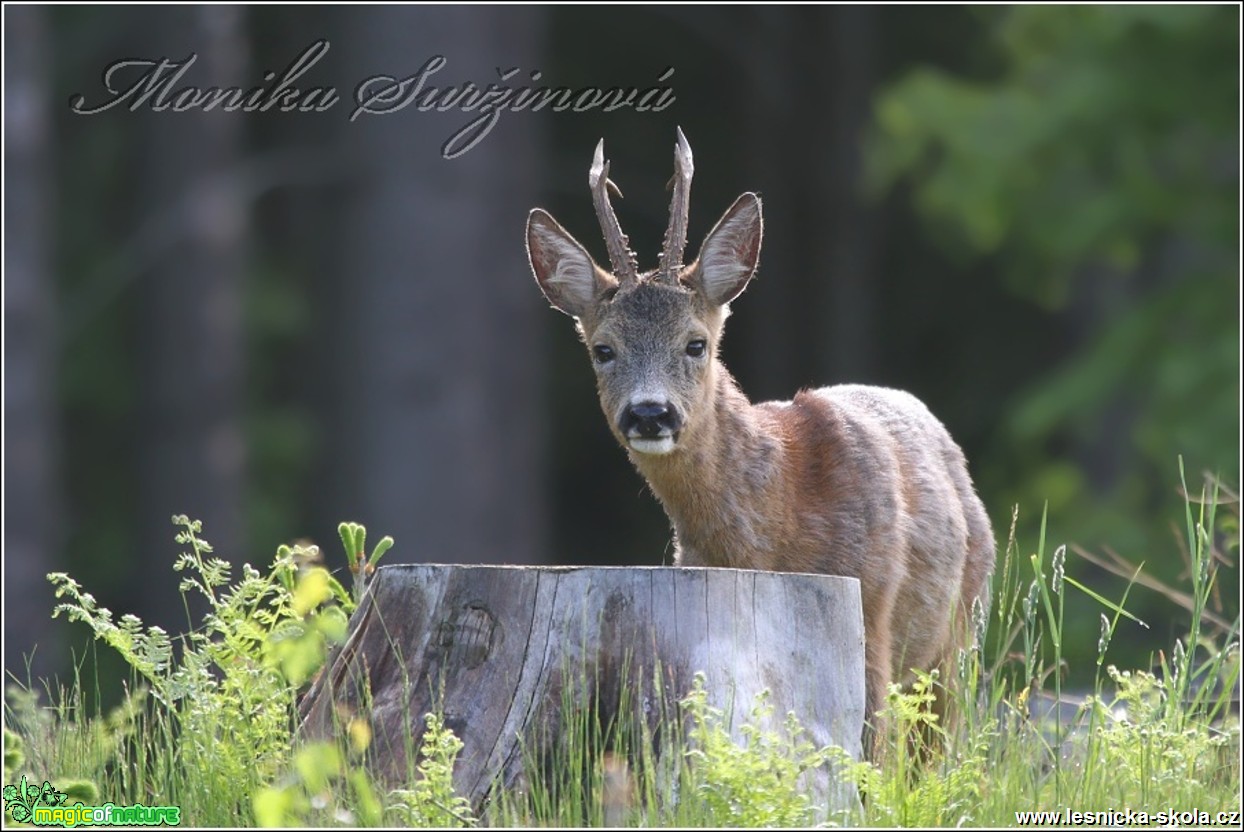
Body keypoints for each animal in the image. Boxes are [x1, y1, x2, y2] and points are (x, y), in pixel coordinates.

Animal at [527, 128, 1000, 751]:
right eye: (603, 349)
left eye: (696, 343)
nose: (650, 413)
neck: (776, 526)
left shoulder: (873, 600)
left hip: (960, 633)